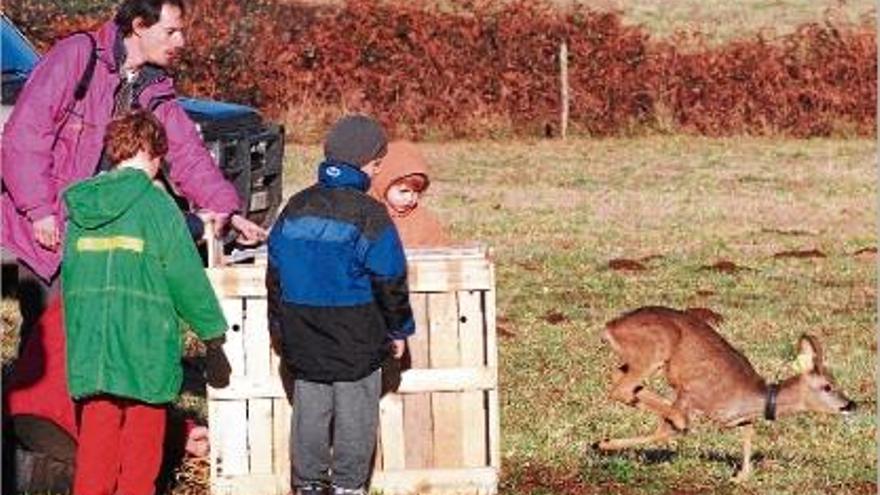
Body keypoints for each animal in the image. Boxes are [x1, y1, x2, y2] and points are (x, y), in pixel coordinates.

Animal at [596, 306, 856, 480]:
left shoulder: (736, 419)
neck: (749, 396)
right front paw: (603, 443)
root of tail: (610, 327)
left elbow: (749, 430)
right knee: (622, 389)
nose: (850, 404)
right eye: (827, 386)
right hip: (656, 348)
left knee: (618, 379)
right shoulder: (691, 391)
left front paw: (741, 477)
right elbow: (668, 430)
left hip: (640, 359)